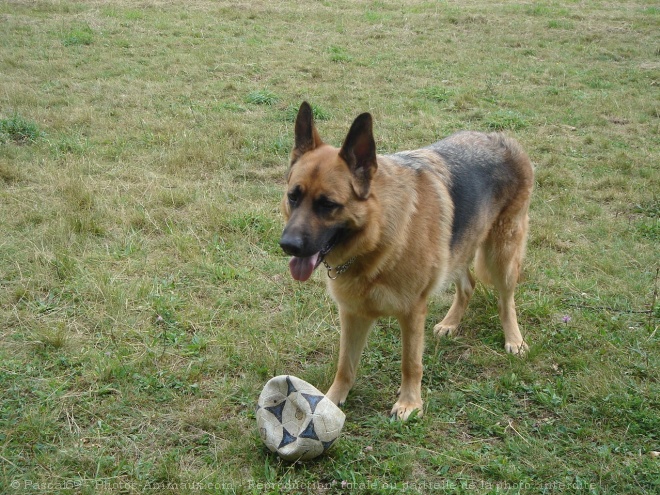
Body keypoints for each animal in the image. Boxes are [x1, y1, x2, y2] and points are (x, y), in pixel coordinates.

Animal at [278, 102, 532, 420]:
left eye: (327, 205)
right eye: (293, 197)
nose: (287, 245)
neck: (379, 235)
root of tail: (501, 139)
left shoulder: (412, 313)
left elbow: (410, 363)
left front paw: (410, 403)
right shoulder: (352, 314)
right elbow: (345, 364)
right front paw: (331, 400)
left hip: (502, 255)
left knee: (506, 301)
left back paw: (514, 339)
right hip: (459, 249)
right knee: (468, 285)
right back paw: (451, 323)